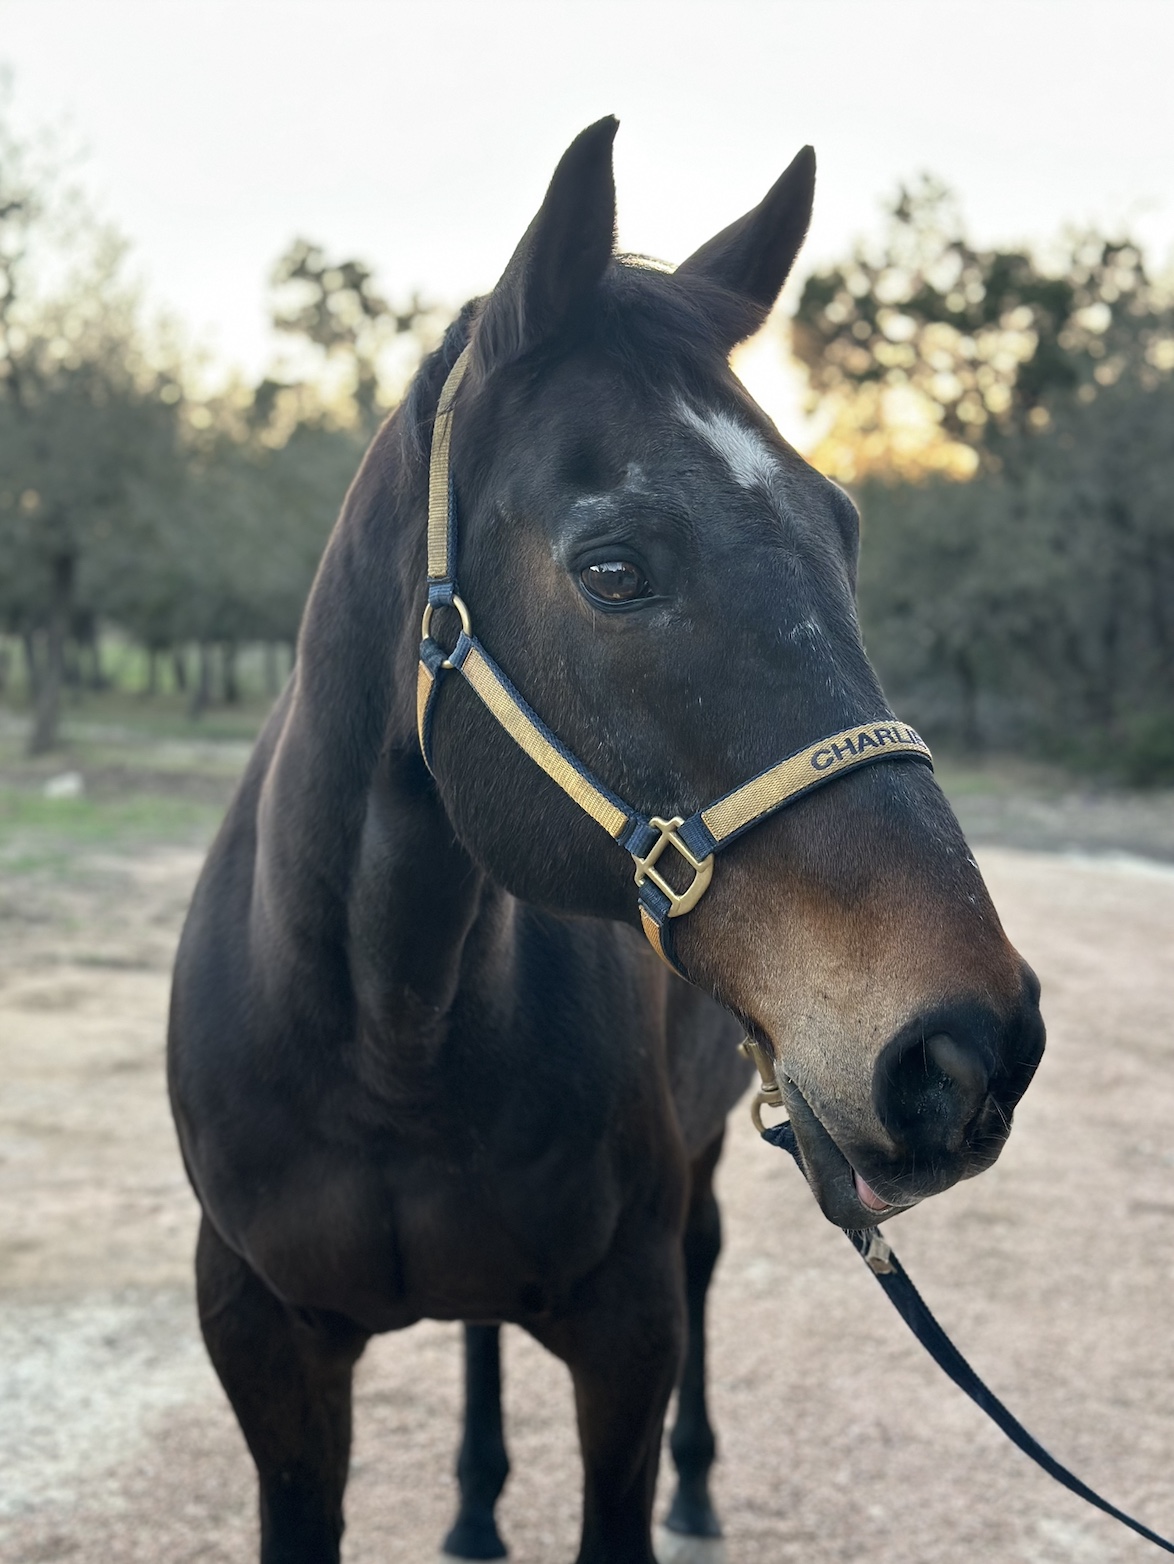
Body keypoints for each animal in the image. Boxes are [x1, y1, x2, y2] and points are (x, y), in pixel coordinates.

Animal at [167, 117, 1045, 1564]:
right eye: (615, 569)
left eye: (844, 530)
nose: (971, 1046)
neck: (383, 1036)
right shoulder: (261, 1343)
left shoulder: (626, 1335)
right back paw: (473, 1502)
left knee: (703, 1259)